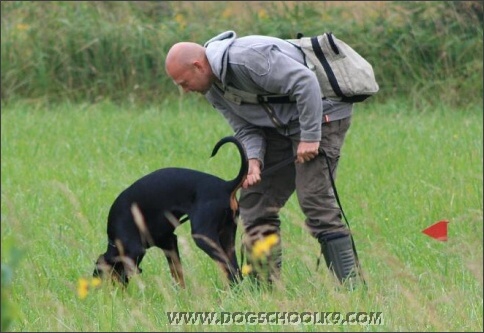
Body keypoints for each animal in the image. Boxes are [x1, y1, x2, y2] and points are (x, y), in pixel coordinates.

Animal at [93, 136, 248, 286]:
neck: (115, 240)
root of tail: (226, 186)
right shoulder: (169, 243)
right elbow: (178, 274)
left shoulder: (134, 250)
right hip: (227, 236)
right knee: (236, 271)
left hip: (204, 236)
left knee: (229, 269)